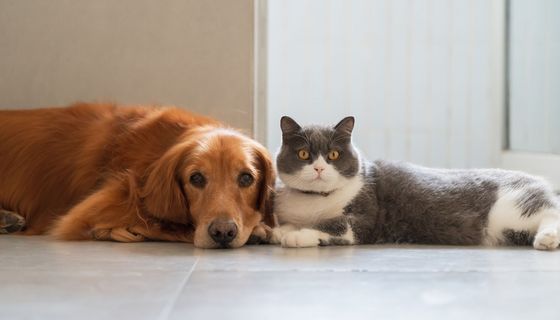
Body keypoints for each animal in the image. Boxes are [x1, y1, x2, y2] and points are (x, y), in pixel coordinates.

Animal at [270, 115, 560, 250]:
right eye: (304, 154)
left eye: (333, 155)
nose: (319, 168)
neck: (315, 200)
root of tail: (538, 181)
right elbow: (290, 223)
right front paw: (280, 231)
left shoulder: (362, 220)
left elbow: (332, 224)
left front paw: (297, 235)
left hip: (512, 209)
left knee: (550, 212)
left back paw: (547, 239)